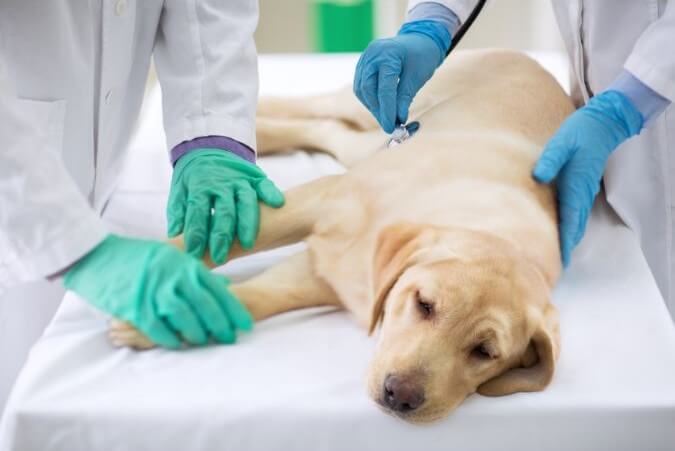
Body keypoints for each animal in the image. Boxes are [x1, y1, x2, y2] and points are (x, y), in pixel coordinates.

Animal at [112, 50, 576, 428]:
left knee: (329, 130)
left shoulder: (324, 279)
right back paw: (254, 115)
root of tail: (537, 66)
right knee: (323, 108)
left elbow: (258, 297)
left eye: (485, 352)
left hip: (372, 143)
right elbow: (221, 244)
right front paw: (142, 276)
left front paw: (174, 312)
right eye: (424, 304)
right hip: (380, 105)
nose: (400, 396)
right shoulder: (319, 201)